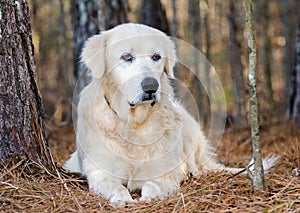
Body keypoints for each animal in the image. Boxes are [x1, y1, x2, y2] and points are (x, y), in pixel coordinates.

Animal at [63, 22, 278, 205]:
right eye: (126, 57)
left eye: (156, 57)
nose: (151, 86)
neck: (134, 124)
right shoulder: (100, 172)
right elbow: (114, 186)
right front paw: (123, 199)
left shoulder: (164, 172)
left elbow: (153, 184)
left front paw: (148, 198)